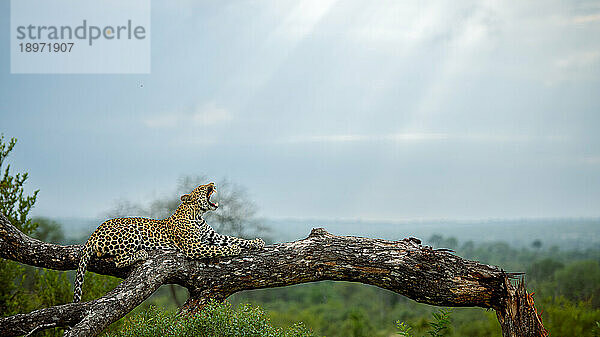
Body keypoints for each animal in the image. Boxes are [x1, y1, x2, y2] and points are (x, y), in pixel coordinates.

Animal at [73, 181, 264, 302]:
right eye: (202, 187)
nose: (212, 183)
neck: (198, 215)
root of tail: (93, 233)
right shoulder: (193, 247)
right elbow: (217, 249)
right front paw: (234, 249)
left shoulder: (213, 236)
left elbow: (234, 238)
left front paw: (256, 242)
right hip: (131, 230)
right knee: (119, 260)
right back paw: (141, 253)